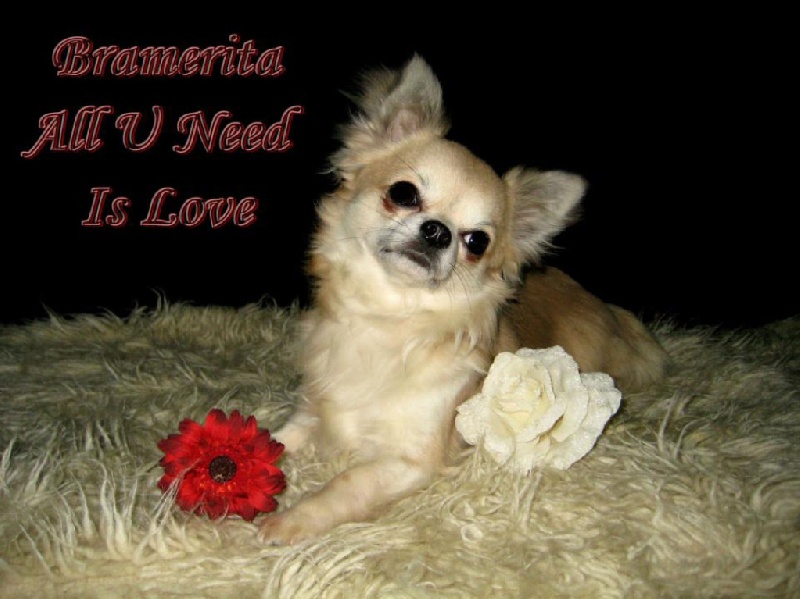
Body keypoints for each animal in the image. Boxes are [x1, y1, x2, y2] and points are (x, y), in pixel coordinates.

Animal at [259, 56, 667, 544]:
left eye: (477, 242)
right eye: (403, 193)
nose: (438, 231)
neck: (387, 316)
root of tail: (605, 309)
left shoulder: (410, 461)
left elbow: (347, 484)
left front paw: (289, 521)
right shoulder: (312, 410)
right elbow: (273, 438)